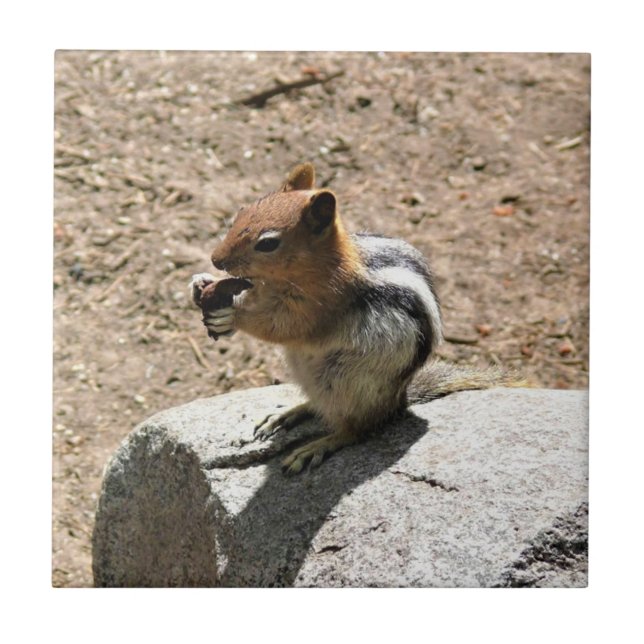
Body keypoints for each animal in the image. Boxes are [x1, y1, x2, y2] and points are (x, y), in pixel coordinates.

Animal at [191, 162, 522, 474]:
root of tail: (397, 404)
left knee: (355, 430)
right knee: (320, 406)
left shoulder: (317, 307)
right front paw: (201, 283)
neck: (319, 267)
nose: (215, 259)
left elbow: (280, 327)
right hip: (308, 372)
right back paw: (288, 414)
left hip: (346, 382)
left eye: (268, 243)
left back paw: (315, 446)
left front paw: (232, 316)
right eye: (242, 211)